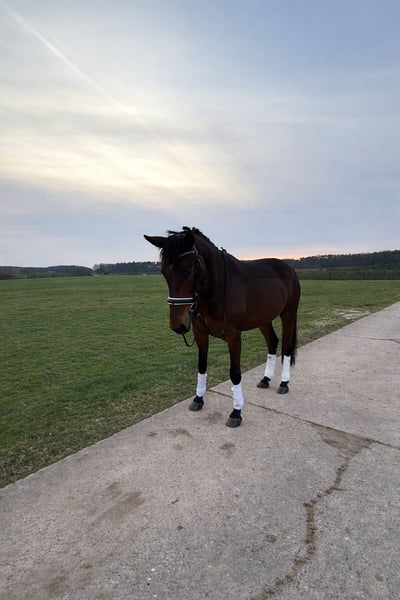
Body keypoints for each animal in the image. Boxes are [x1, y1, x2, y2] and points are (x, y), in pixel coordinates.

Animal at [144, 227, 301, 428]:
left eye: (189, 271)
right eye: (164, 272)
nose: (178, 325)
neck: (216, 289)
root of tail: (289, 268)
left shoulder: (233, 336)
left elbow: (235, 373)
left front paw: (236, 412)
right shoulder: (200, 333)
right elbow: (201, 365)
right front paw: (198, 399)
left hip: (288, 314)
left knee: (287, 347)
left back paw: (283, 383)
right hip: (263, 319)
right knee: (272, 342)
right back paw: (266, 379)